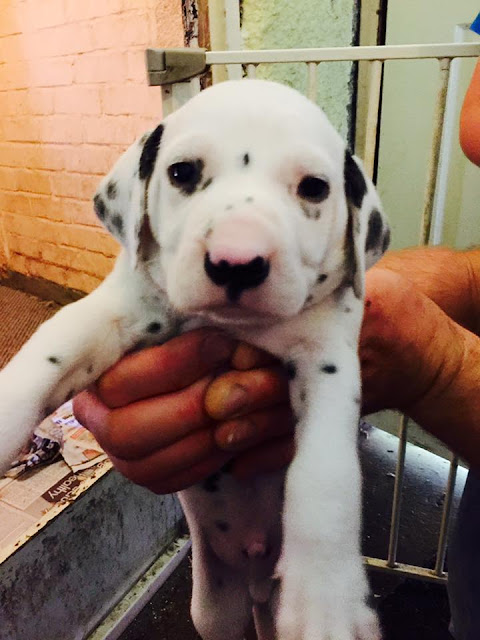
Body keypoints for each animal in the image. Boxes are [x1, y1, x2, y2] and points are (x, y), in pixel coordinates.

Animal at [0, 80, 390, 640]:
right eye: (182, 173)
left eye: (314, 188)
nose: (237, 263)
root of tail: (254, 581)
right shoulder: (117, 311)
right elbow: (50, 350)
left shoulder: (328, 361)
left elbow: (324, 474)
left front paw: (323, 597)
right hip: (213, 608)